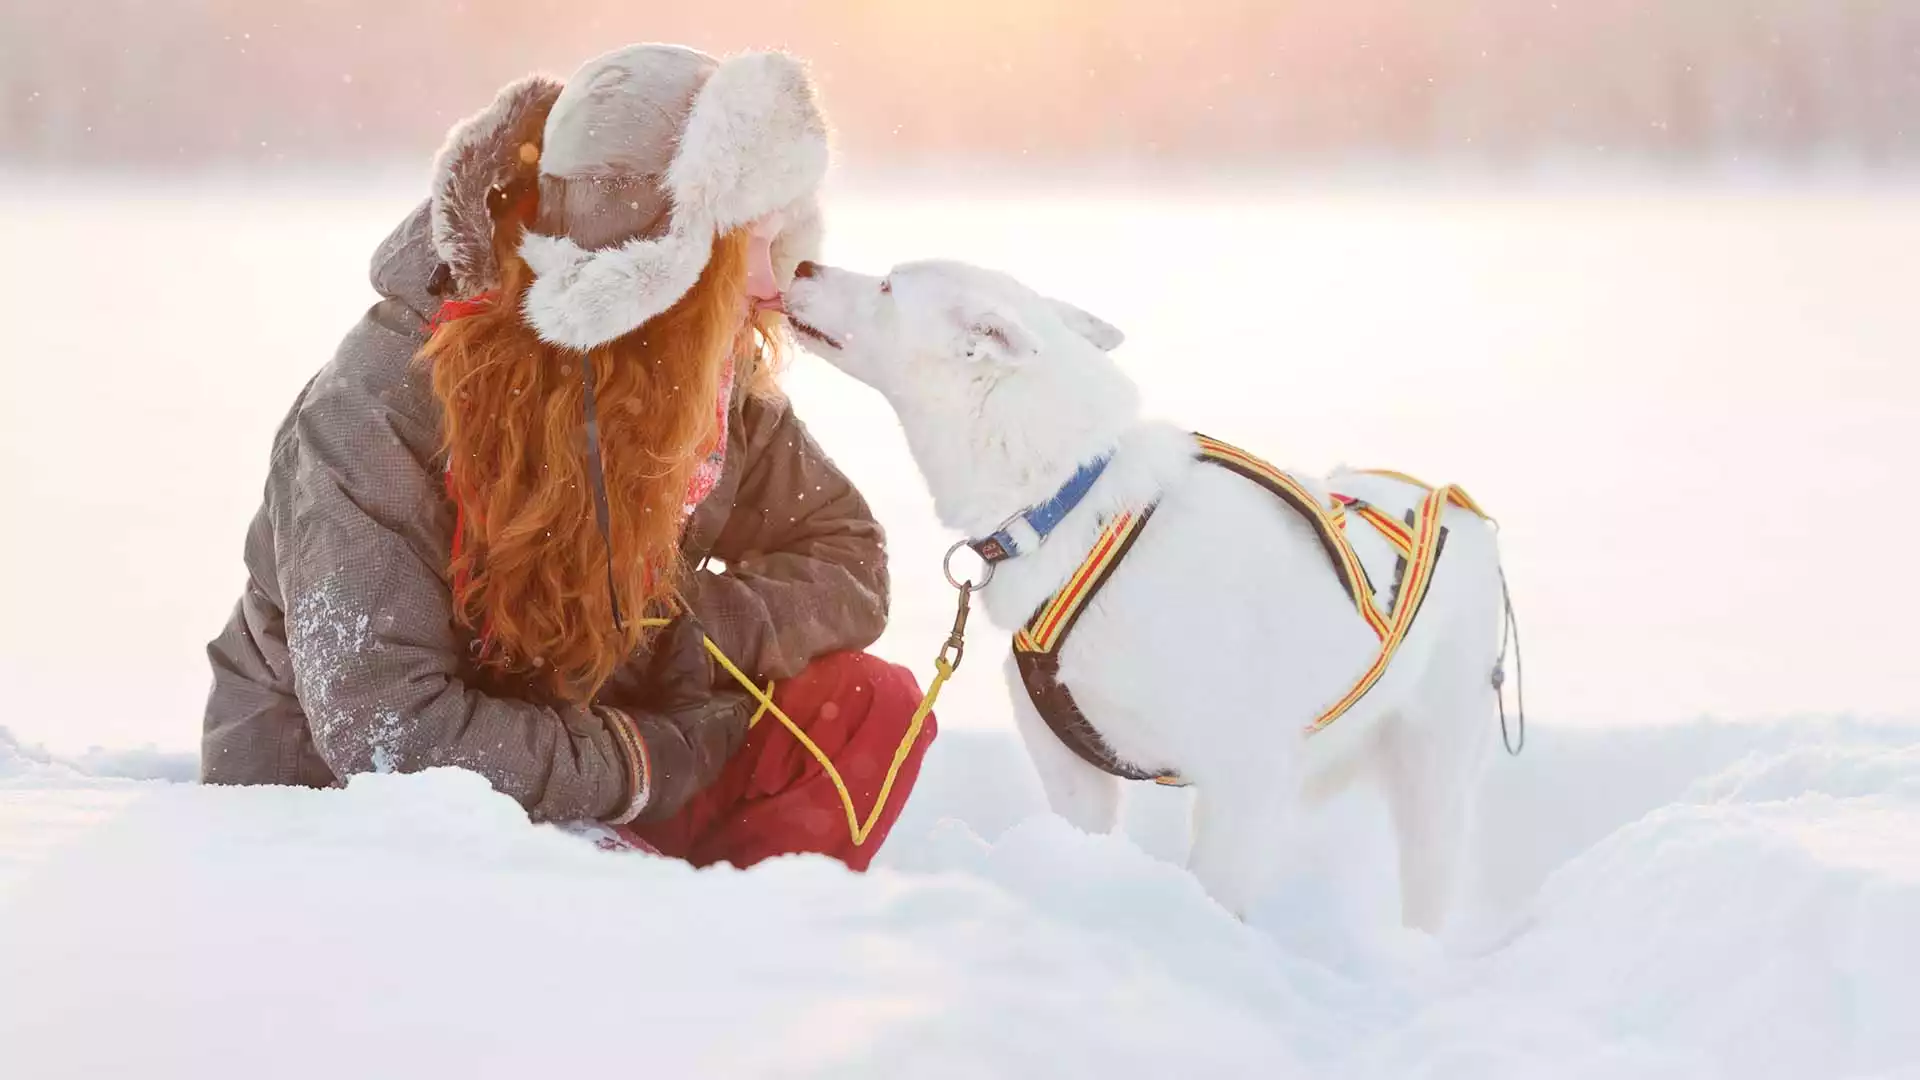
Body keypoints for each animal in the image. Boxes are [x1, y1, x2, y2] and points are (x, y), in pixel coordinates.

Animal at [787, 255, 1505, 922]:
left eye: (888, 284)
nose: (801, 264)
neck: (1070, 506)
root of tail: (1454, 503)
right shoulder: (1071, 769)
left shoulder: (1245, 777)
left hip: (1432, 775)